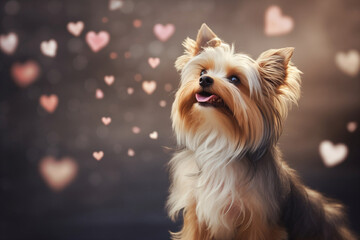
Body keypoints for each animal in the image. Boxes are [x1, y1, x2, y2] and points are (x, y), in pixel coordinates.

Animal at [167, 23, 358, 240]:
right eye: (202, 72)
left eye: (234, 79)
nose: (205, 80)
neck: (219, 137)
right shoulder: (197, 213)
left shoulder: (259, 218)